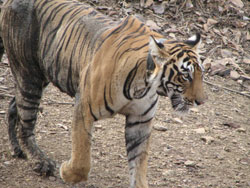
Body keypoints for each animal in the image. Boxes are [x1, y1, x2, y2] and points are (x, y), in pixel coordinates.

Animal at [0, 0, 205, 187]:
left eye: (200, 74)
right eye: (185, 76)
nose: (201, 102)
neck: (143, 86)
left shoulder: (140, 120)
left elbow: (139, 164)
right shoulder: (83, 107)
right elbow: (82, 158)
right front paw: (67, 171)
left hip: (40, 76)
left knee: (14, 106)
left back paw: (18, 150)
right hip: (29, 75)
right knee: (26, 123)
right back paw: (40, 161)